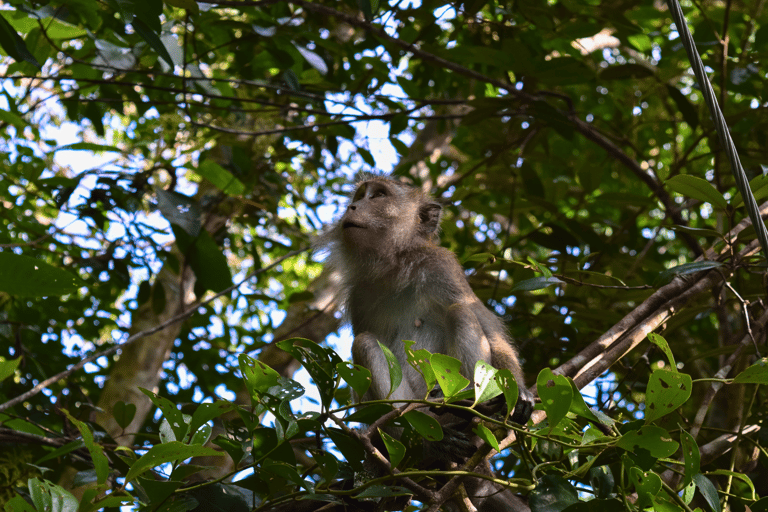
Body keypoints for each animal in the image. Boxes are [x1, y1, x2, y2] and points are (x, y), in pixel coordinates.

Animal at [316, 176, 532, 512]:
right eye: (360, 196)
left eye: (378, 196)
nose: (352, 207)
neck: (394, 265)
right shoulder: (360, 295)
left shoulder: (442, 265)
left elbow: (486, 323)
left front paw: (518, 392)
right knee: (365, 344)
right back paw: (430, 442)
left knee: (461, 312)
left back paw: (471, 413)